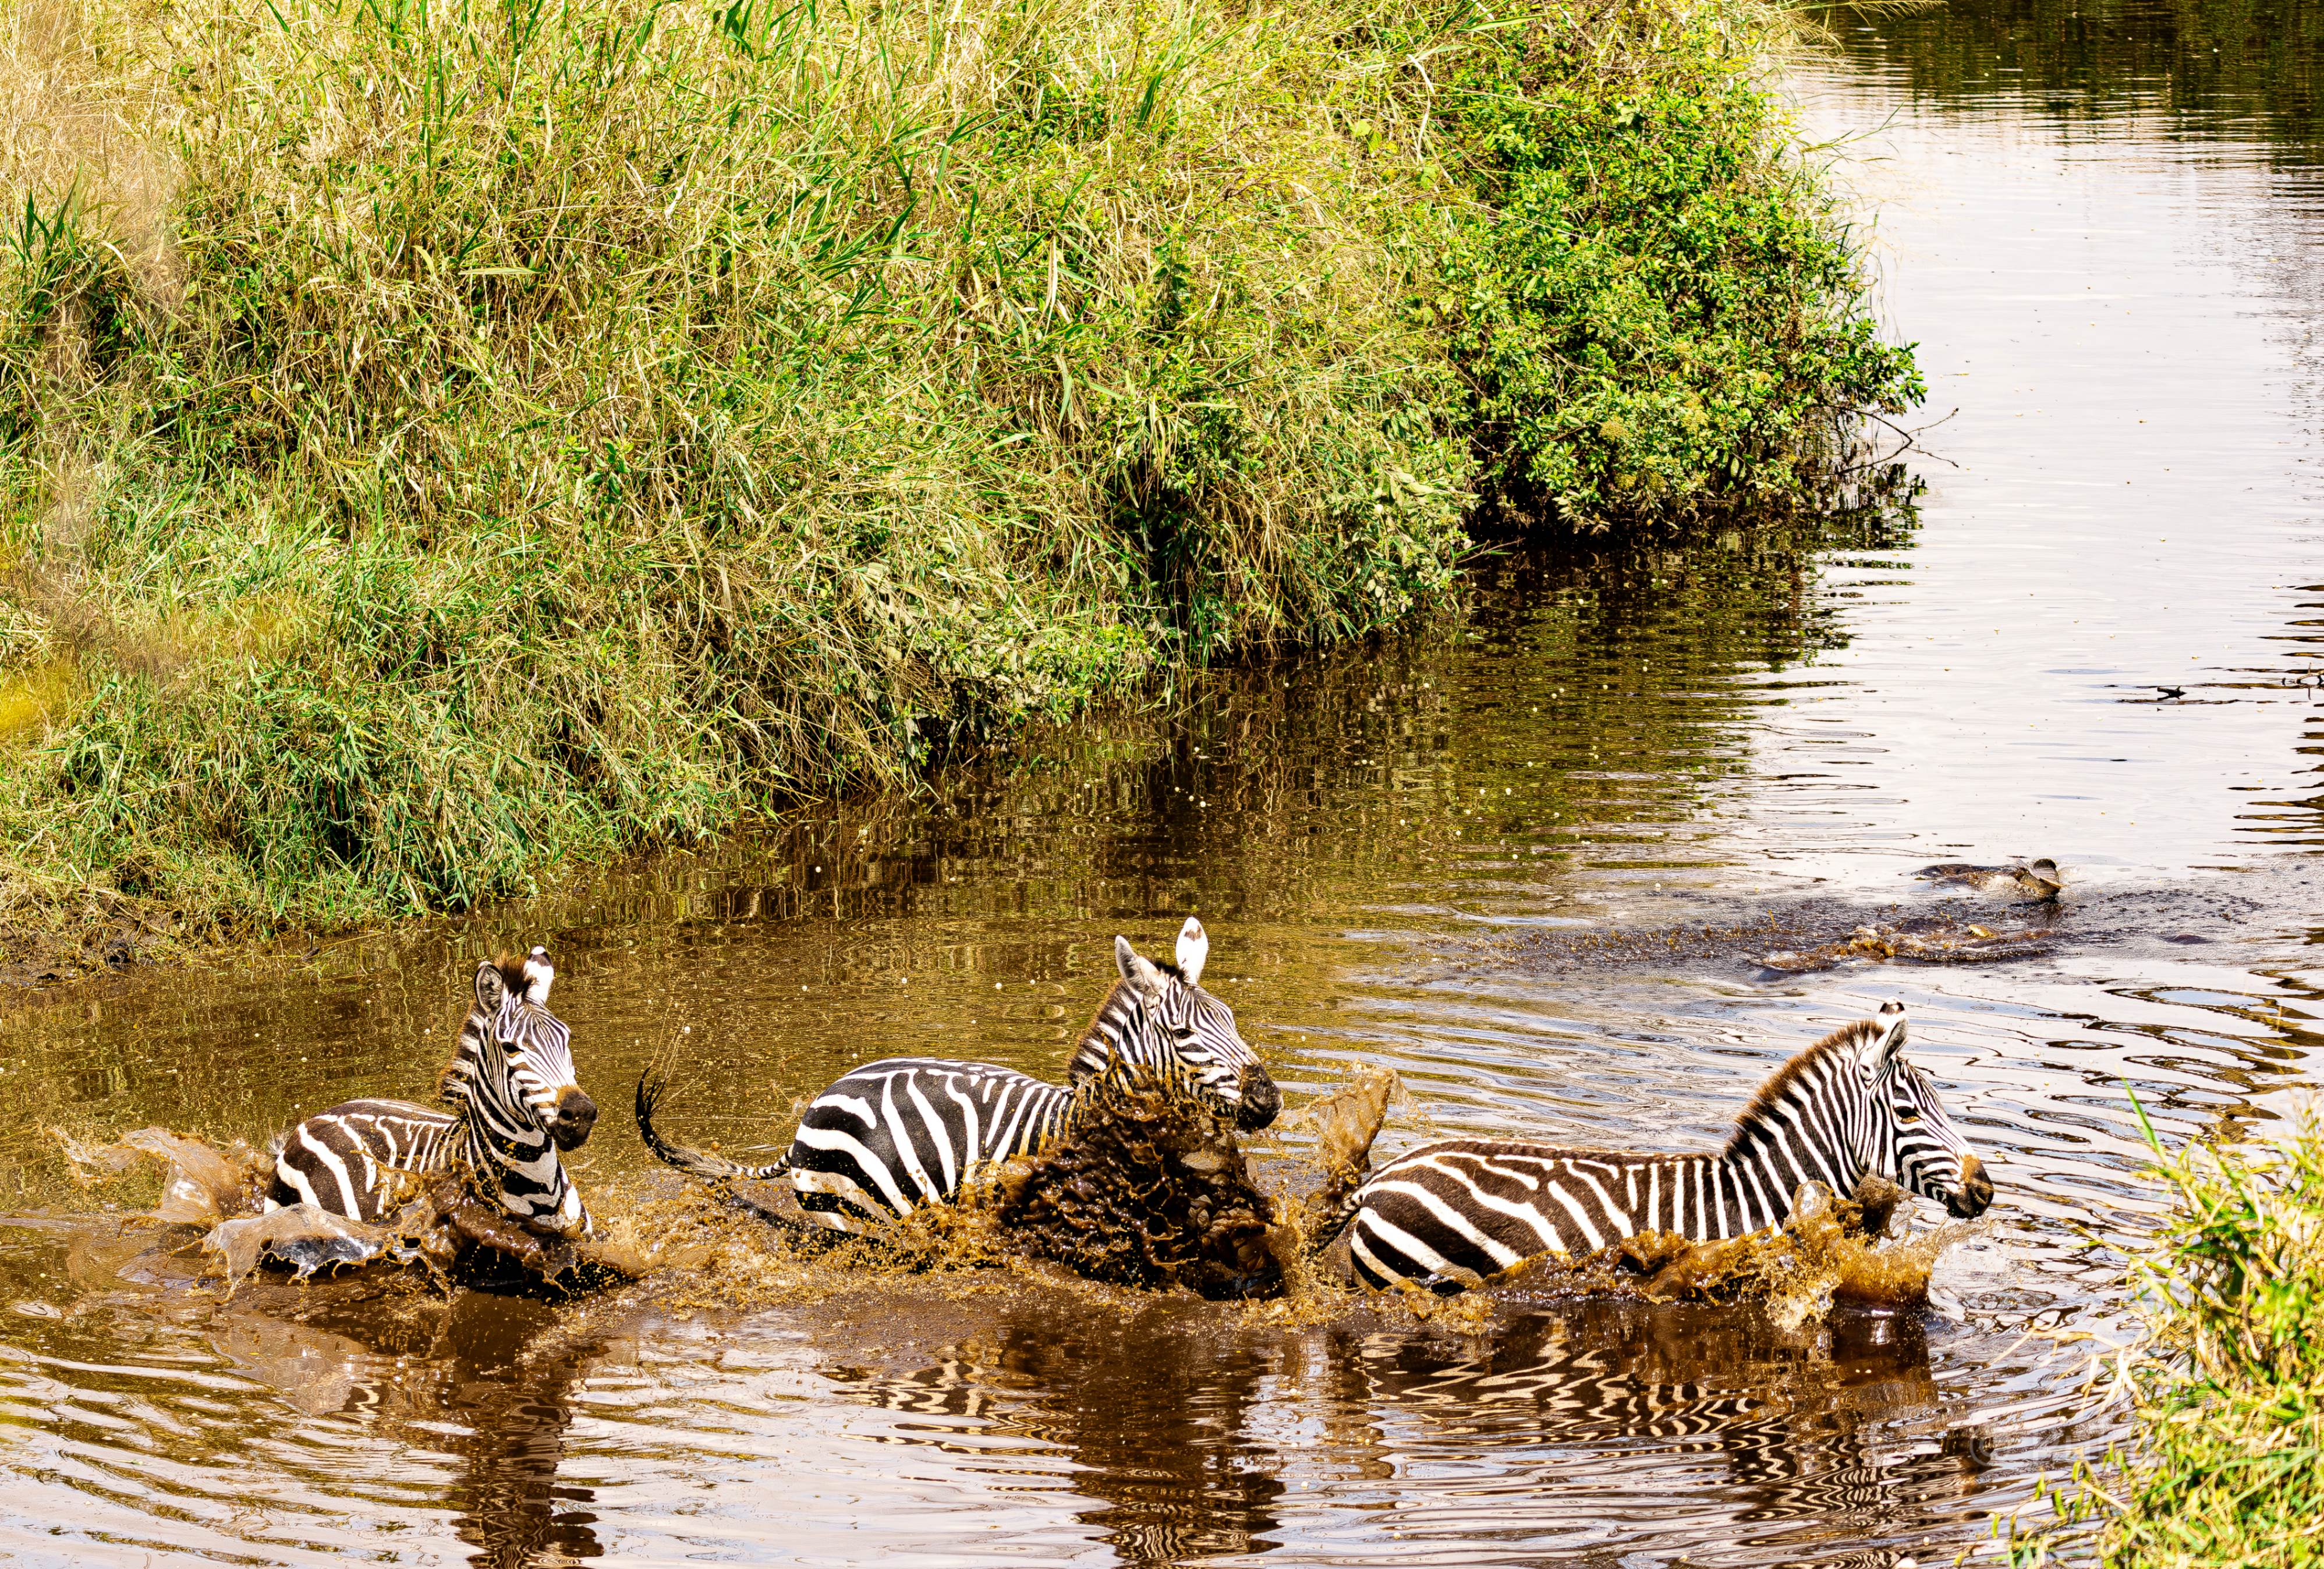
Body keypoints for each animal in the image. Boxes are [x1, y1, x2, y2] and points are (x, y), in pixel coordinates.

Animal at [635, 918, 1280, 1233]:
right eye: (1184, 1034)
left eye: (1230, 1017)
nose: (1269, 1099)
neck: (1081, 1120)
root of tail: (814, 1109)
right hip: (859, 1220)